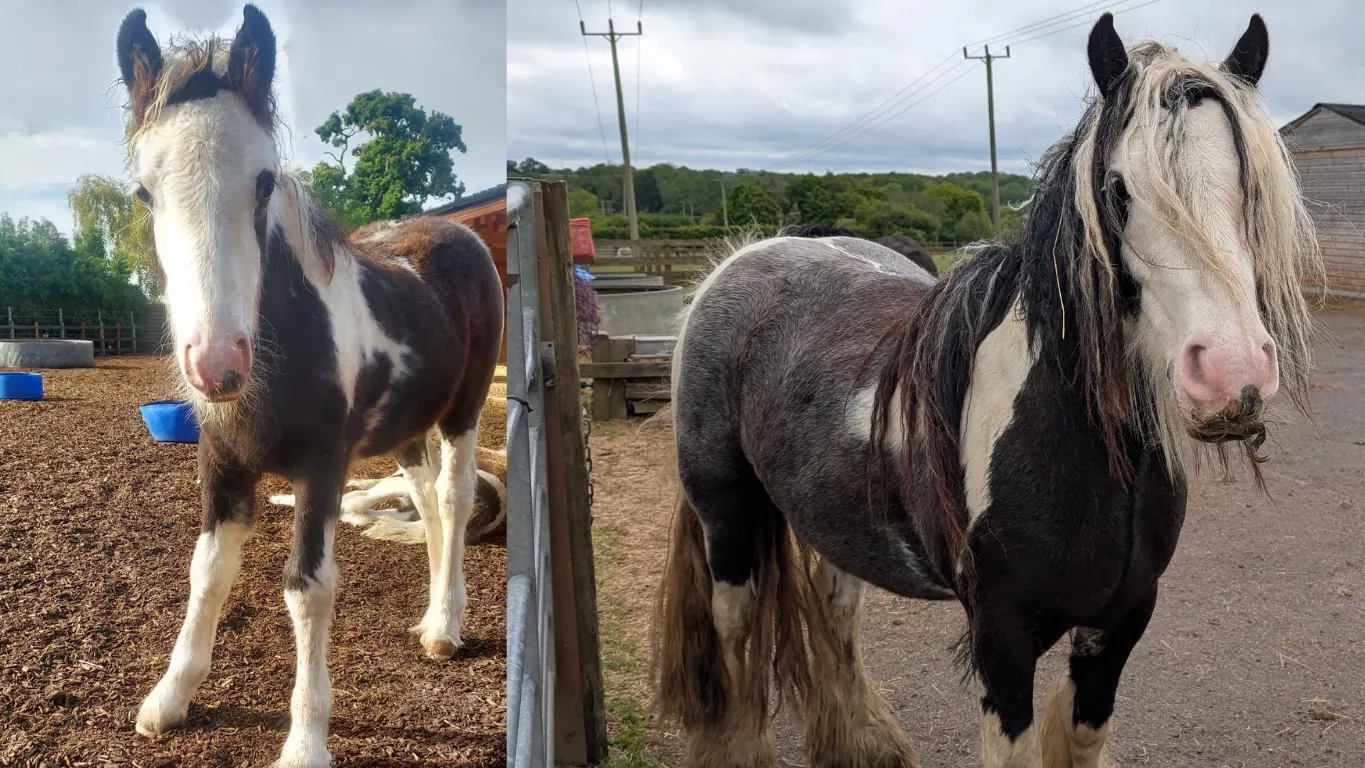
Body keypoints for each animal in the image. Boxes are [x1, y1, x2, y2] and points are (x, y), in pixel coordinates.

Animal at [116, 6, 502, 765]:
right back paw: (429, 617)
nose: (217, 364)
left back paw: (447, 626)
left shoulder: (322, 466)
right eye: (145, 191)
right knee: (426, 503)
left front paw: (304, 743)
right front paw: (168, 700)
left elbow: (308, 587)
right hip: (404, 429)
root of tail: (458, 235)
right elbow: (207, 572)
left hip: (463, 411)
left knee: (454, 496)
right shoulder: (222, 463)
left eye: (264, 180)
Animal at [655, 13, 1319, 768]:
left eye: (1253, 188)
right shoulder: (1002, 641)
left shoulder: (1120, 625)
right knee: (736, 641)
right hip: (727, 518)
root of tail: (743, 257)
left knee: (833, 614)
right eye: (1118, 189)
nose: (1231, 375)